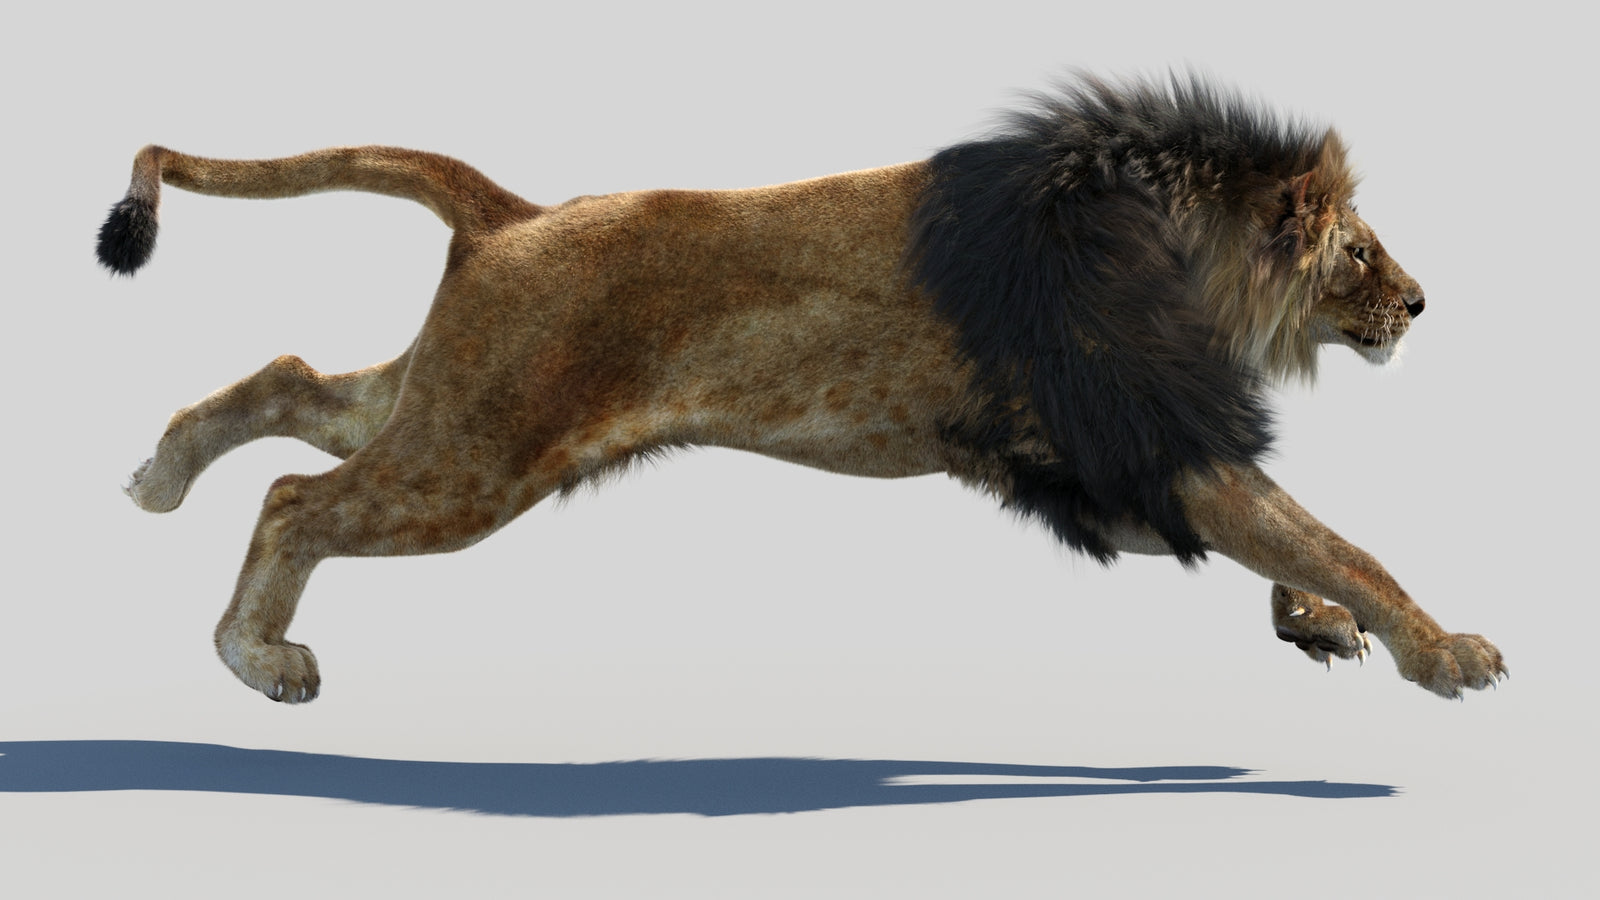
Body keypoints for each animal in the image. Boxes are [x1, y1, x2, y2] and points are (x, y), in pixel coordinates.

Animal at [97, 74, 1504, 704]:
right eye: (1360, 252)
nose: (1420, 305)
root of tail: (518, 214)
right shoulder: (1135, 438)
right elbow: (1337, 537)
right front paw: (1444, 652)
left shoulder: (1112, 457)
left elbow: (1291, 539)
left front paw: (1316, 623)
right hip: (477, 458)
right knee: (296, 499)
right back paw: (255, 655)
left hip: (454, 405)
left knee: (292, 386)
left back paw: (158, 475)